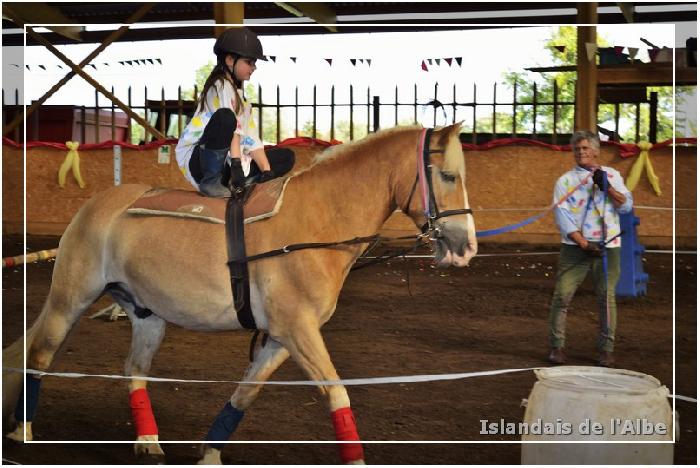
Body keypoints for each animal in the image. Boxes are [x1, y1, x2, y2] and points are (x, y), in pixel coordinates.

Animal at [4, 123, 476, 464]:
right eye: (448, 175)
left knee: (133, 369)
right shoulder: (298, 330)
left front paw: (209, 454)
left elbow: (246, 393)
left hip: (147, 315)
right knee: (40, 356)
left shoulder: (283, 338)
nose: (466, 247)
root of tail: (95, 205)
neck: (317, 222)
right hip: (70, 299)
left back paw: (148, 439)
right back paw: (23, 431)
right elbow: (336, 394)